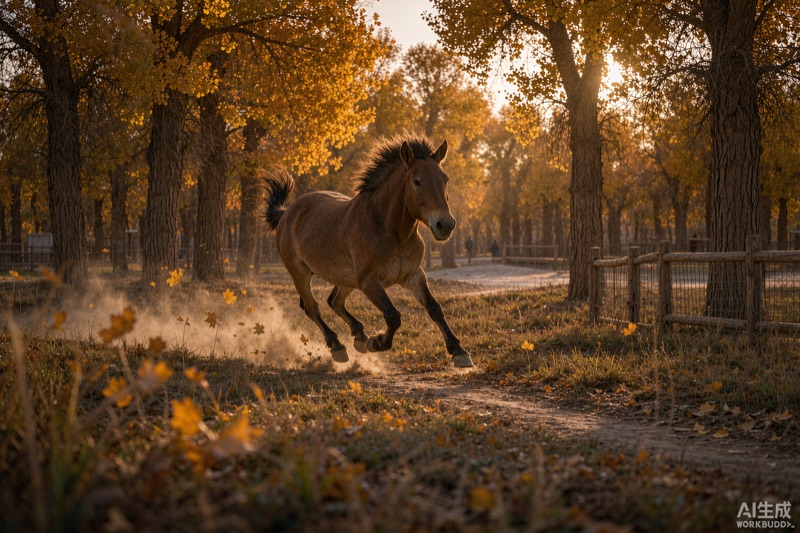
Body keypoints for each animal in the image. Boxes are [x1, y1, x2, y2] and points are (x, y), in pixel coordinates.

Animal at [263, 135, 473, 368]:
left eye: (445, 179)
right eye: (416, 181)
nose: (445, 225)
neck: (388, 229)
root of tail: (285, 214)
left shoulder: (413, 275)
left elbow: (435, 309)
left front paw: (458, 351)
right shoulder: (369, 281)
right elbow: (393, 316)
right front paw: (377, 342)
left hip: (346, 279)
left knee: (334, 301)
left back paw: (359, 335)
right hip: (300, 274)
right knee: (312, 307)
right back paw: (338, 346)